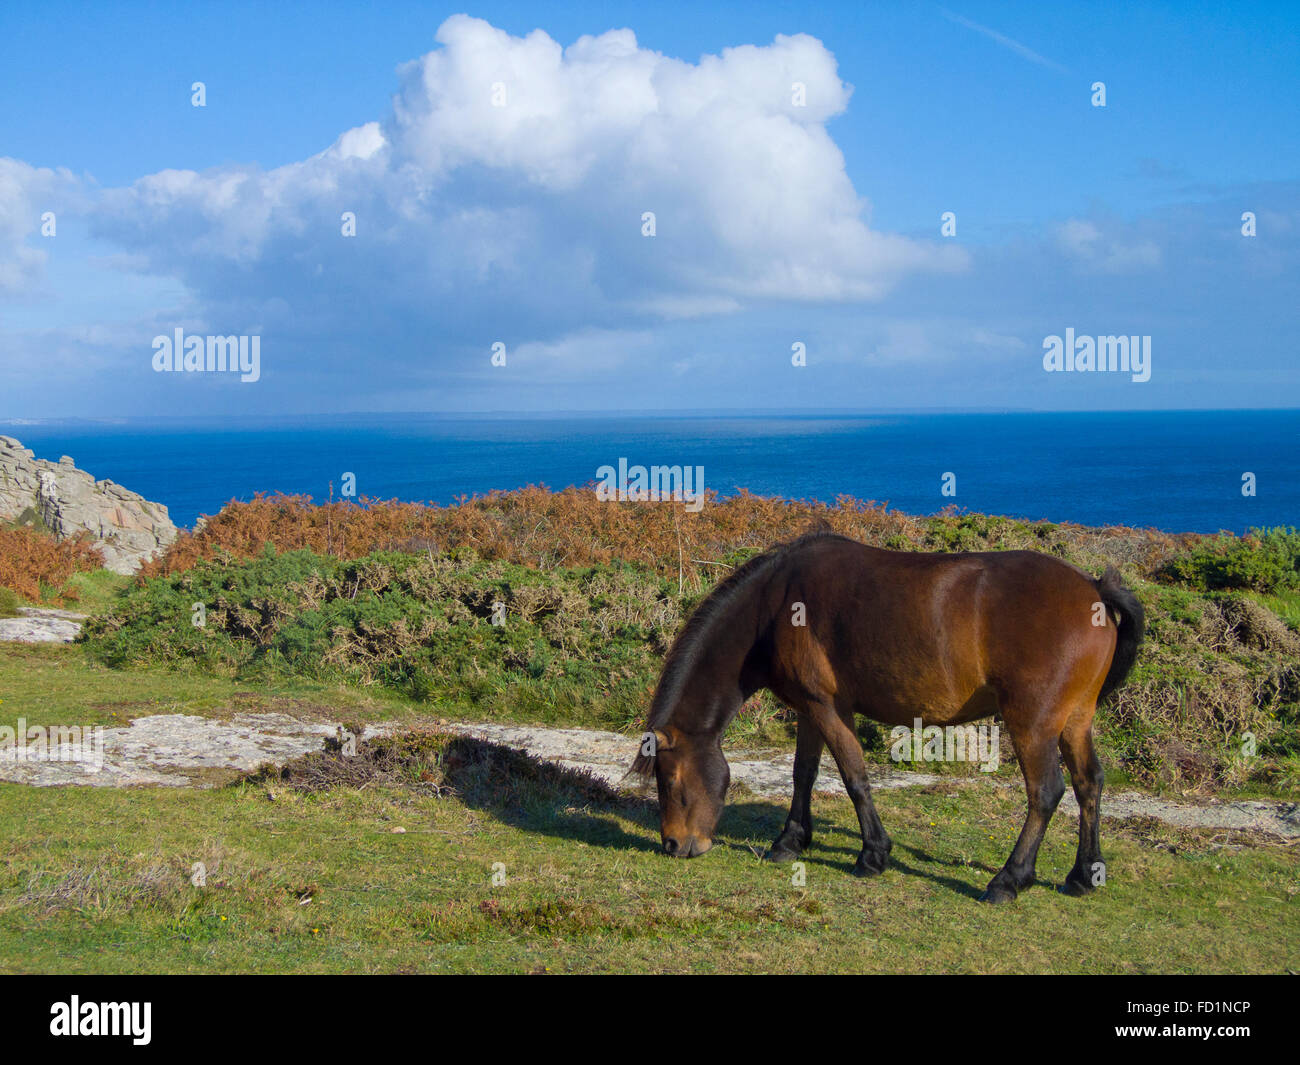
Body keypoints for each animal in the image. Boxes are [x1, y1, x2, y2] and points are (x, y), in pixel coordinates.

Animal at [629, 530, 1149, 899]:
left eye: (670, 781)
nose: (672, 845)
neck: (775, 607)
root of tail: (1094, 588)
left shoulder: (828, 707)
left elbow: (854, 777)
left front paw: (872, 855)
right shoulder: (810, 709)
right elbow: (803, 773)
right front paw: (790, 841)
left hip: (1032, 723)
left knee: (1045, 793)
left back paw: (1009, 878)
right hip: (1076, 719)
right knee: (1088, 784)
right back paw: (1083, 874)